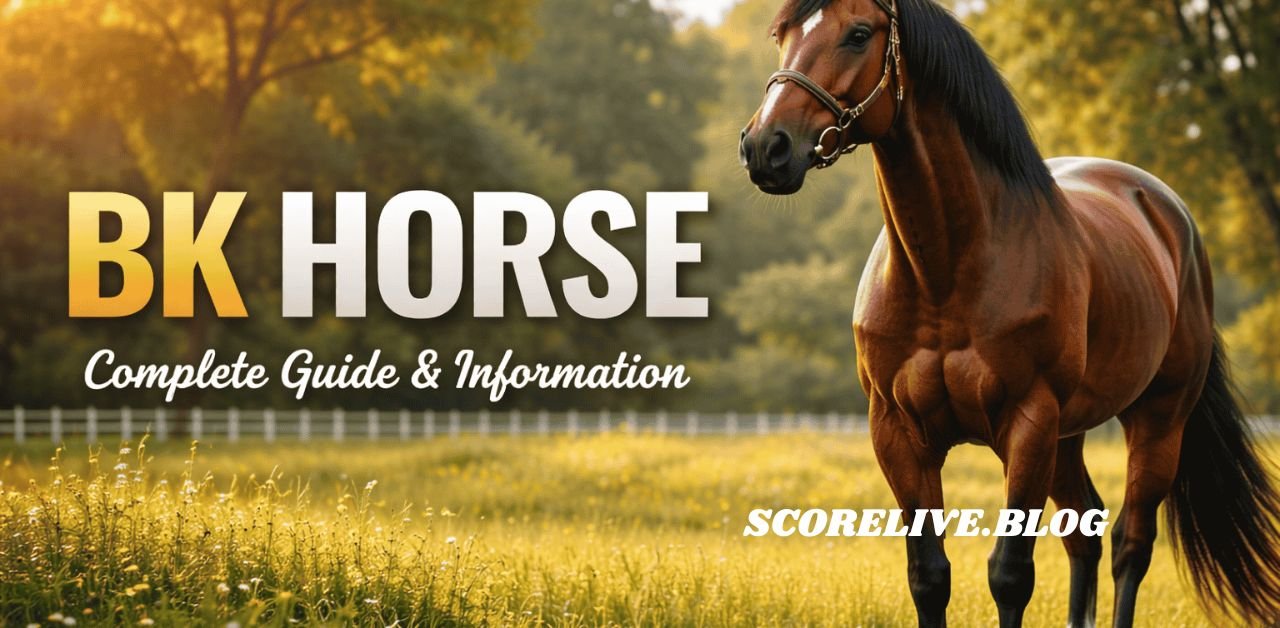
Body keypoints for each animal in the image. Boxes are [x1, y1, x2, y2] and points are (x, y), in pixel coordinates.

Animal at [738, 0, 1280, 626]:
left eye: (857, 34)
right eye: (782, 35)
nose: (766, 147)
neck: (945, 272)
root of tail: (1171, 218)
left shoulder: (1028, 423)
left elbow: (1010, 575)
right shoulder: (896, 433)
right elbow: (929, 576)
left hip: (1157, 420)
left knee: (1131, 544)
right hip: (1069, 435)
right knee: (1085, 533)